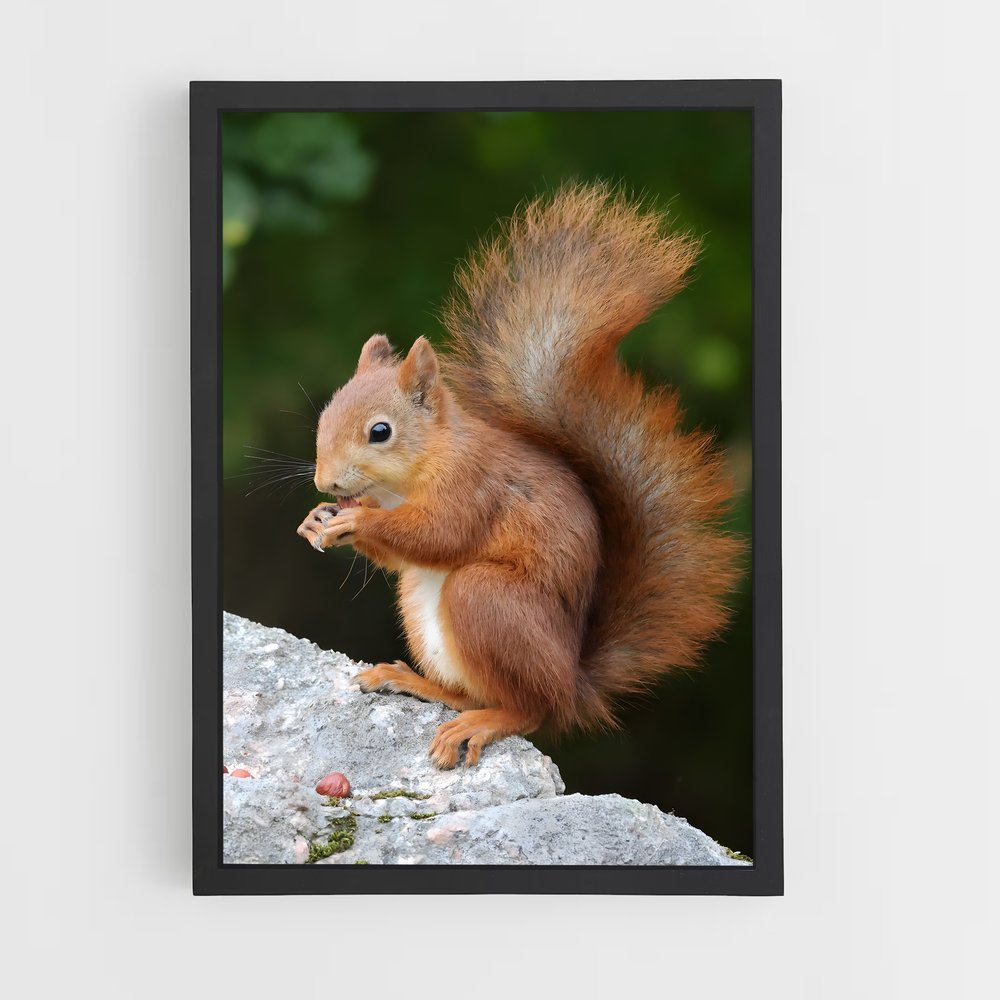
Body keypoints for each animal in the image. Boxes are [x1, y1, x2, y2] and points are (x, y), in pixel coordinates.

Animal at [296, 182, 743, 769]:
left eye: (380, 431)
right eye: (325, 415)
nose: (325, 483)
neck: (407, 481)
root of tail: (573, 684)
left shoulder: (473, 484)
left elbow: (441, 533)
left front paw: (355, 522)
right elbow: (404, 553)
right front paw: (316, 519)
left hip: (488, 599)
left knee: (528, 710)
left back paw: (483, 723)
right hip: (423, 609)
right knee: (473, 691)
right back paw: (417, 683)